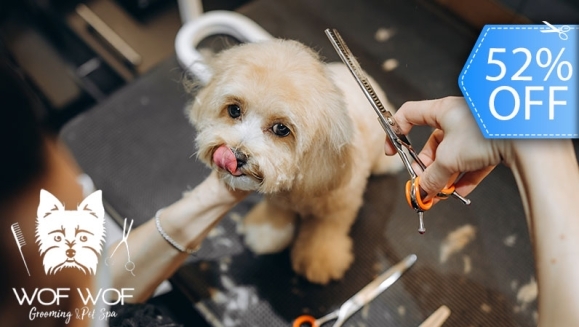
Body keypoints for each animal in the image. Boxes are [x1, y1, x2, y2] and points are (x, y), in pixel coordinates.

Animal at [188, 38, 402, 284]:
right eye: (234, 110)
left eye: (281, 129)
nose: (236, 156)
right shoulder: (278, 202)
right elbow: (277, 220)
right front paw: (265, 236)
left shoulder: (339, 207)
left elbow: (324, 232)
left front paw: (320, 260)